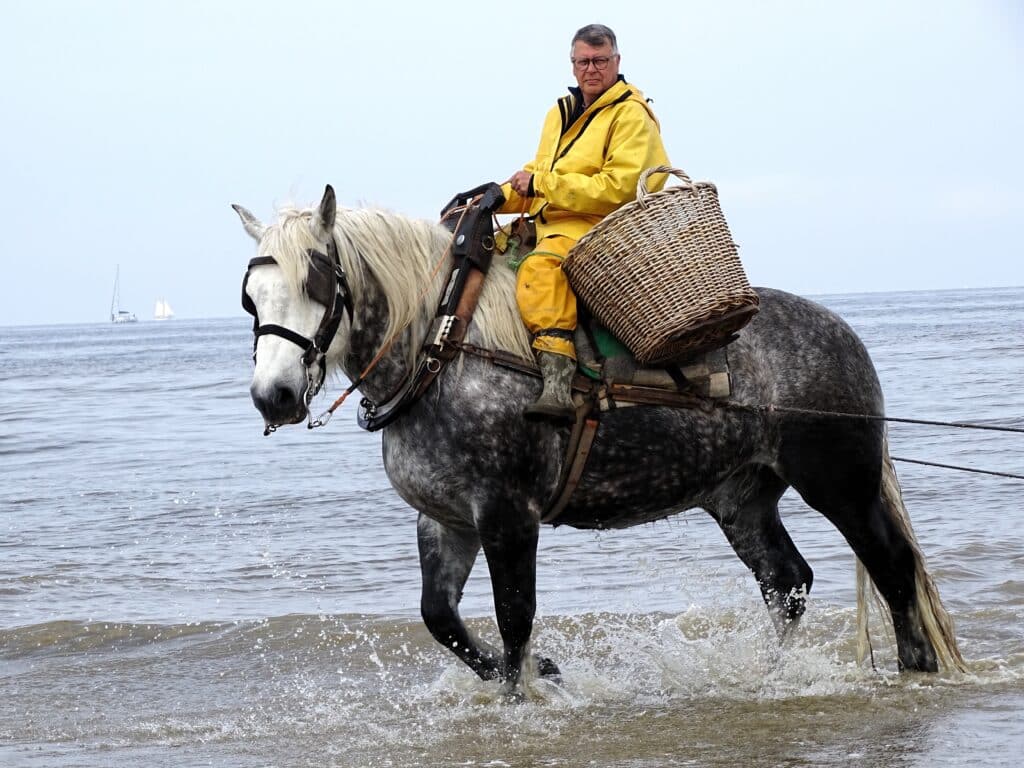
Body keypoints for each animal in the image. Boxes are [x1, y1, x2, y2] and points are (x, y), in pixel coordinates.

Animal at [235, 185, 962, 692]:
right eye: (250, 296)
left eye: (315, 281)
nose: (273, 395)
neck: (444, 350)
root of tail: (844, 335)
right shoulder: (445, 520)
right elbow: (440, 618)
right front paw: (537, 673)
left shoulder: (507, 517)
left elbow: (515, 617)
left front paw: (524, 694)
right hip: (742, 499)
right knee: (788, 583)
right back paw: (768, 675)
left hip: (840, 482)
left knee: (893, 566)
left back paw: (915, 667)